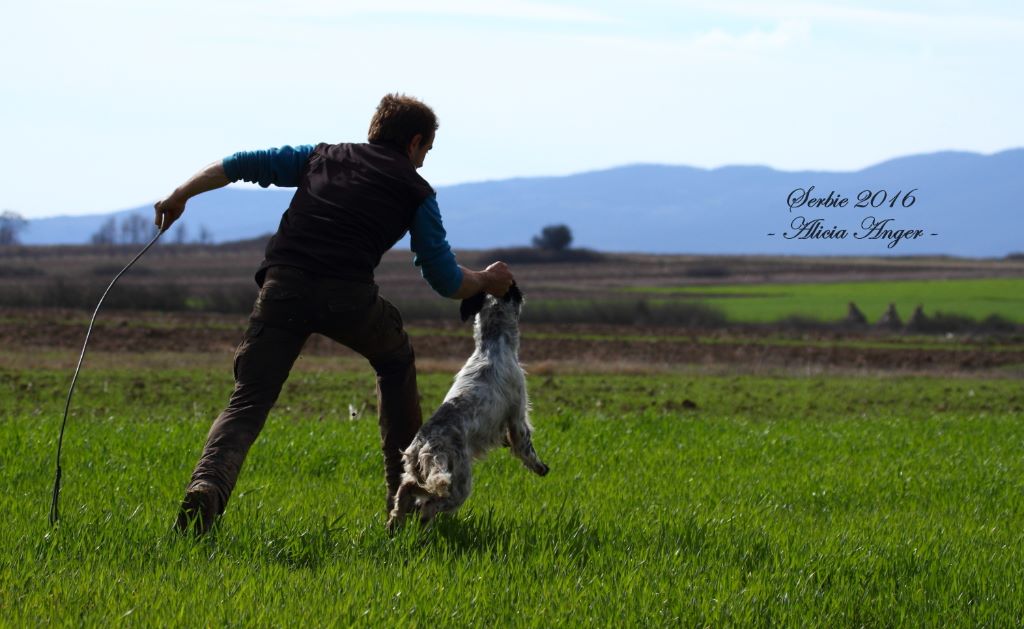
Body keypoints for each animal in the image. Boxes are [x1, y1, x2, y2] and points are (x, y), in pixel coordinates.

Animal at [385, 282, 548, 528]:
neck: (492, 345)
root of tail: (425, 445)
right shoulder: (517, 416)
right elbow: (525, 447)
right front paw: (540, 467)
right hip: (459, 483)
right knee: (430, 504)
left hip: (419, 472)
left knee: (407, 489)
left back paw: (394, 523)